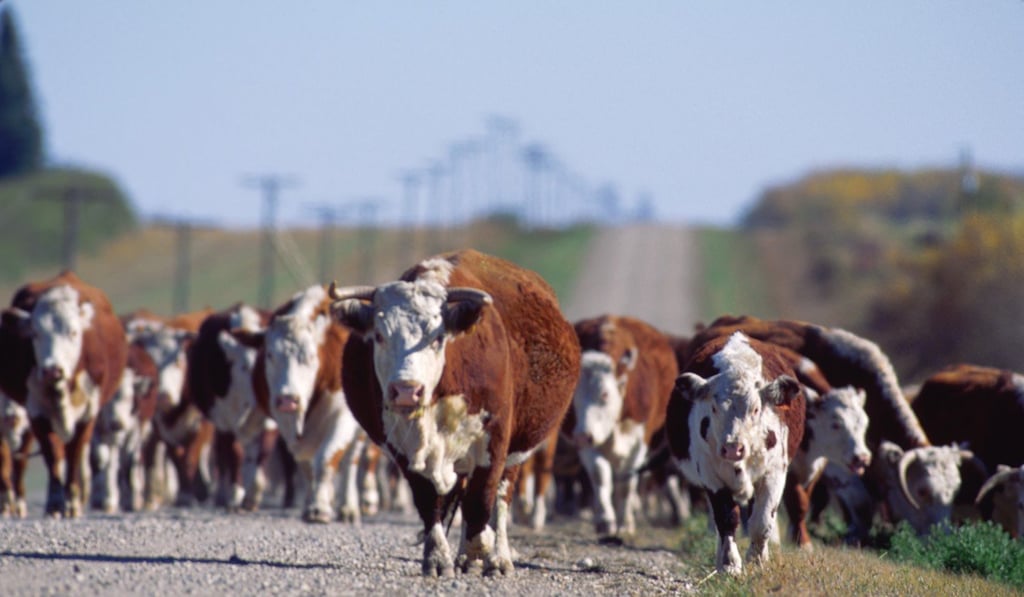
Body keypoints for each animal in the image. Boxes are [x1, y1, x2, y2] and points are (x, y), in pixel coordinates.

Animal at [0, 271, 128, 518]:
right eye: (35, 333)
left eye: (73, 332)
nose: (52, 369)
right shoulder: (35, 410)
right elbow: (51, 453)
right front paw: (56, 503)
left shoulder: (89, 411)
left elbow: (75, 452)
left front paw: (73, 501)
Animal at [251, 285, 365, 524]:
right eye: (270, 355)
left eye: (311, 357)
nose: (288, 399)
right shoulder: (285, 423)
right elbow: (306, 466)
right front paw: (313, 503)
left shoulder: (342, 416)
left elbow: (326, 458)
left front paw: (319, 509)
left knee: (351, 460)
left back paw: (348, 508)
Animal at [330, 249, 581, 577]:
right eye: (380, 336)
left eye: (437, 338)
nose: (407, 390)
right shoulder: (402, 447)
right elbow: (429, 502)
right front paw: (438, 558)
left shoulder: (494, 441)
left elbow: (481, 500)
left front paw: (479, 553)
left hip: (515, 451)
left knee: (500, 499)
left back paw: (499, 557)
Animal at [568, 314, 677, 540]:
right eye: (574, 395)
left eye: (605, 394)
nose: (582, 435)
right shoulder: (588, 443)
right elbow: (600, 475)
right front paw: (605, 520)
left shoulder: (639, 442)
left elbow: (627, 484)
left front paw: (625, 523)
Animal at [666, 331, 804, 575]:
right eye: (713, 408)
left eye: (756, 409)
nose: (732, 448)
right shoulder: (710, 475)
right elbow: (726, 519)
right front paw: (730, 564)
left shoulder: (774, 473)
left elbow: (762, 522)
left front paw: (757, 562)